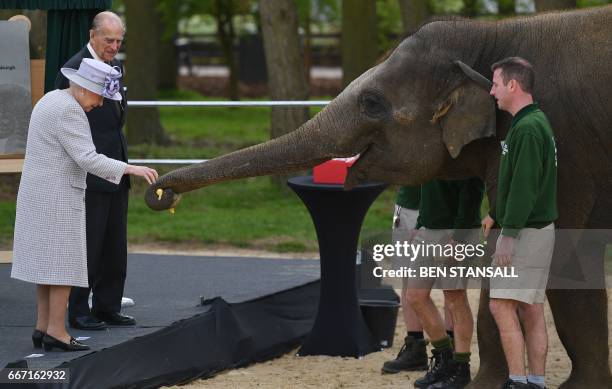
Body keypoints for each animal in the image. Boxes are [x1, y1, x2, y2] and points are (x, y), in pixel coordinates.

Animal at [147, 6, 612, 388]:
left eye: (371, 103)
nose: (160, 192)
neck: (490, 34)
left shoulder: (561, 146)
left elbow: (550, 254)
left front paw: (486, 387)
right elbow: (580, 261)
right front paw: (584, 386)